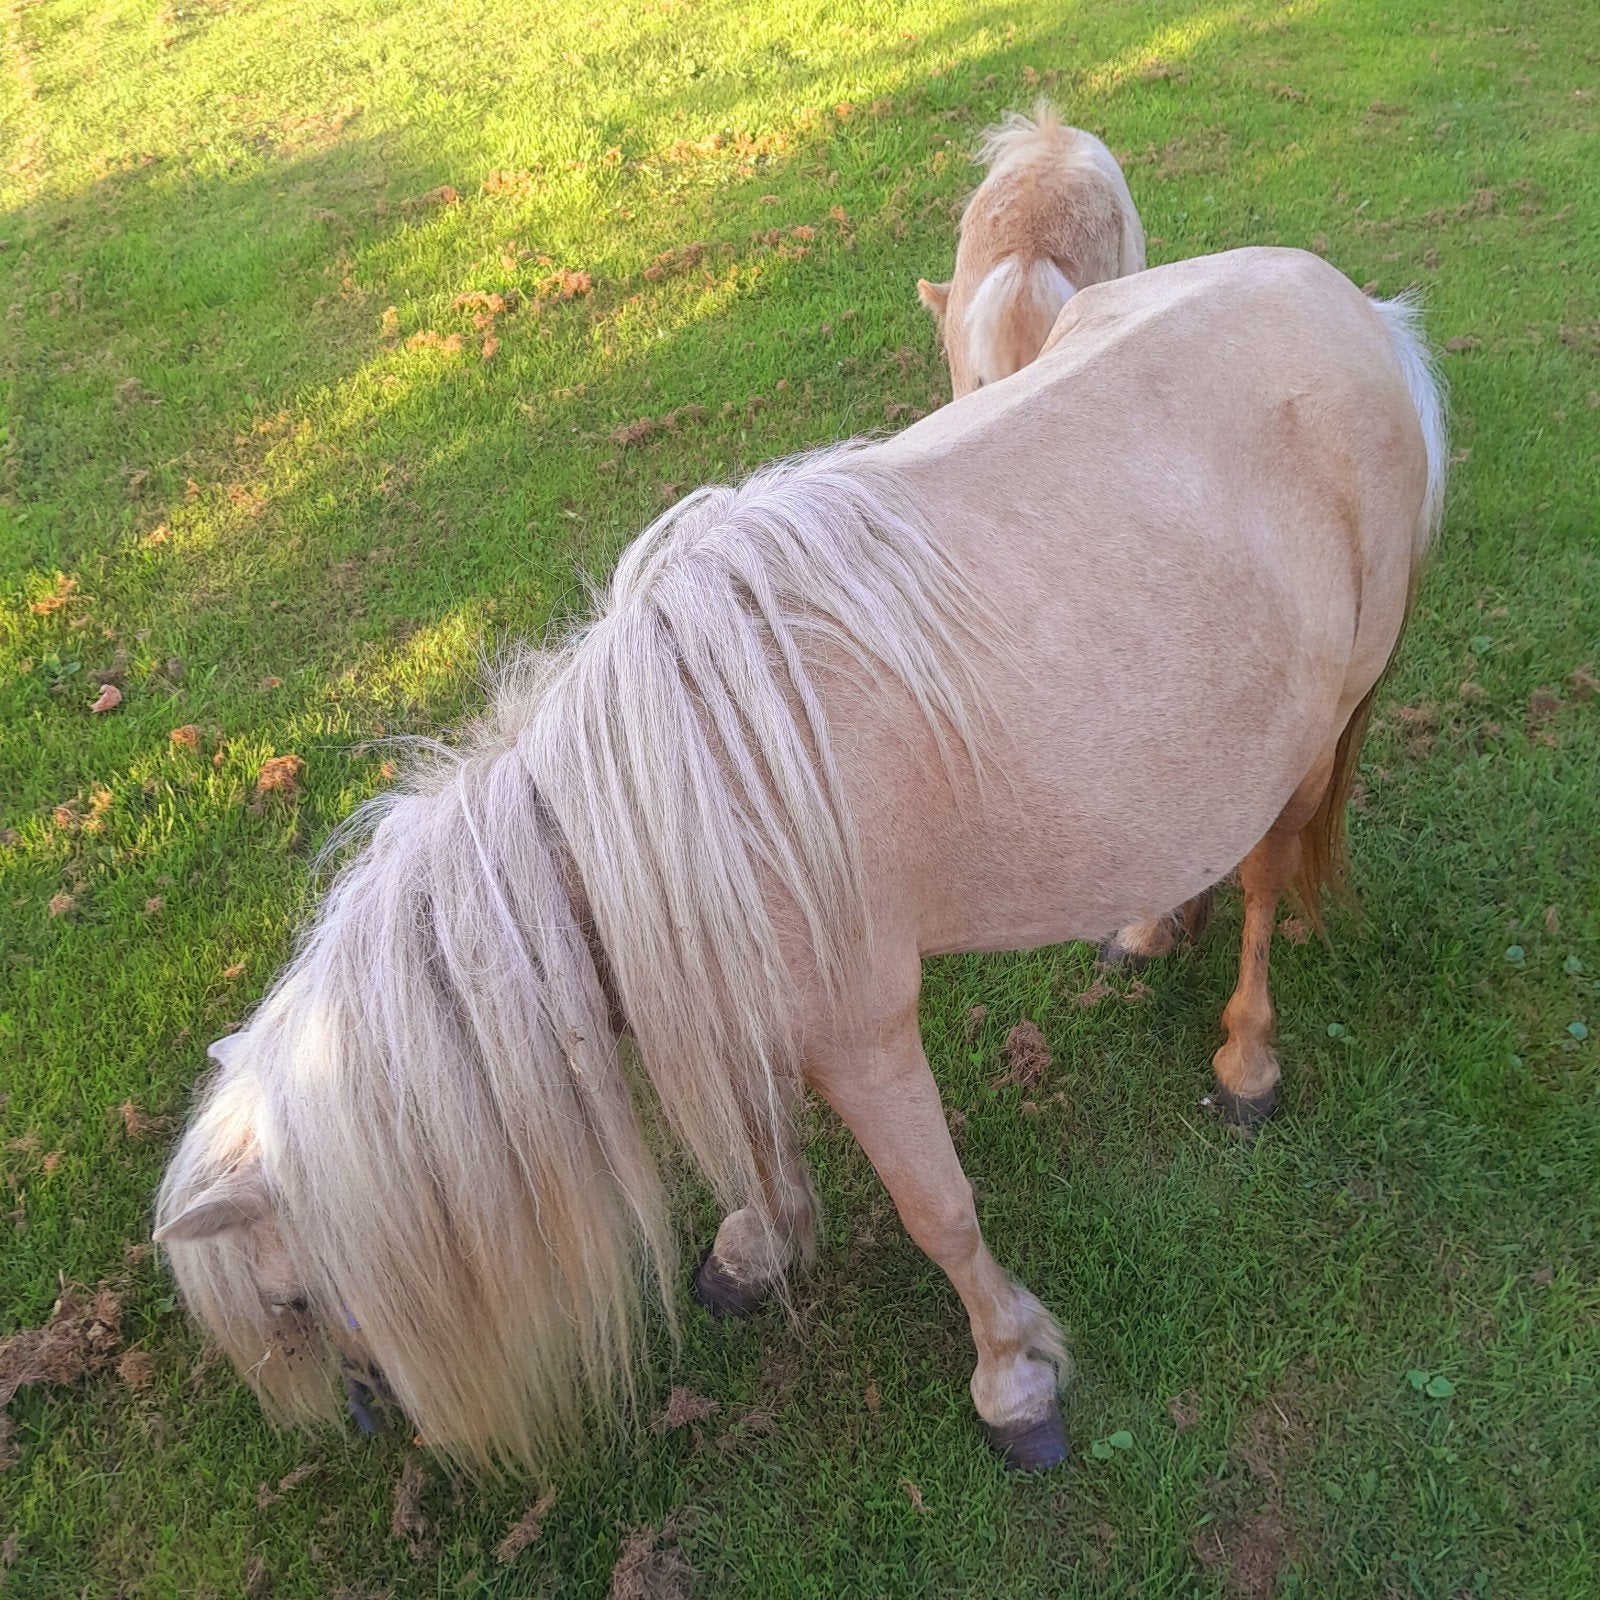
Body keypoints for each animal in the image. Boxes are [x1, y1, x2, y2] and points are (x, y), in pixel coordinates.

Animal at [155, 247, 1446, 1476]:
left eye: (289, 1299)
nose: (356, 1423)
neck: (668, 808)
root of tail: (1355, 312)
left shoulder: (865, 1035)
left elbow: (939, 1211)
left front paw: (1013, 1380)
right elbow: (761, 1126)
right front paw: (761, 1243)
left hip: (1311, 749)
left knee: (1266, 885)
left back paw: (1247, 1060)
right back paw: (1146, 924)